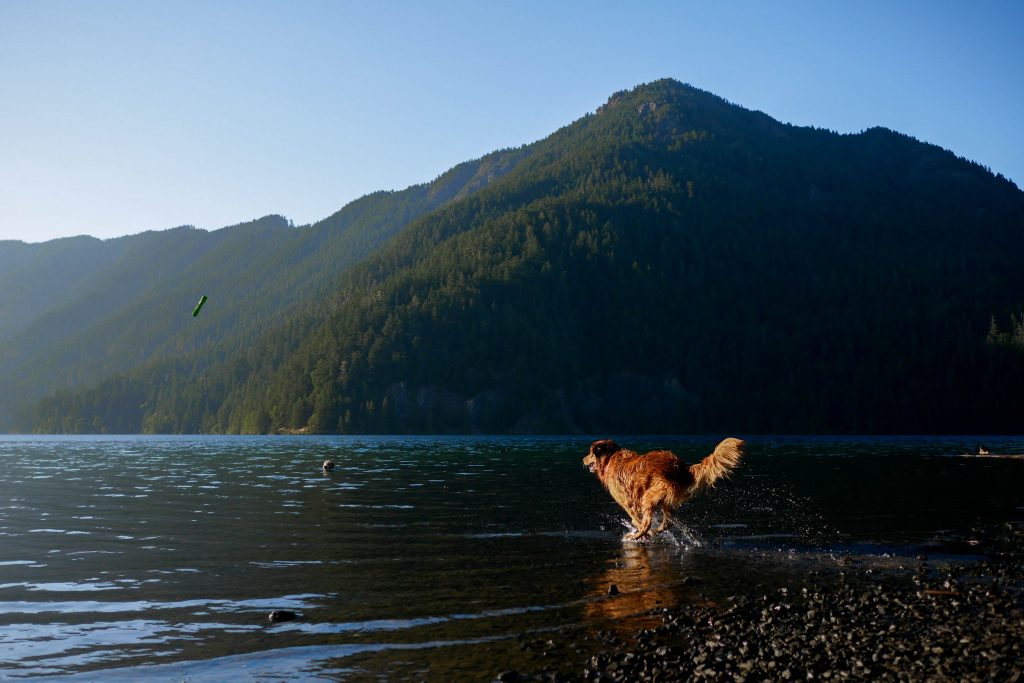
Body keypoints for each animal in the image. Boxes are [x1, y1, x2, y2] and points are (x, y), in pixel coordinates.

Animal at [585, 438, 745, 540]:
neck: (610, 459)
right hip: (665, 499)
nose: (583, 459)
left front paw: (641, 531)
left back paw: (636, 536)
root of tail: (680, 467)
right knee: (667, 522)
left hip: (649, 495)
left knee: (648, 524)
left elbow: (636, 519)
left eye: (590, 453)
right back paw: (656, 532)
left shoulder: (627, 502)